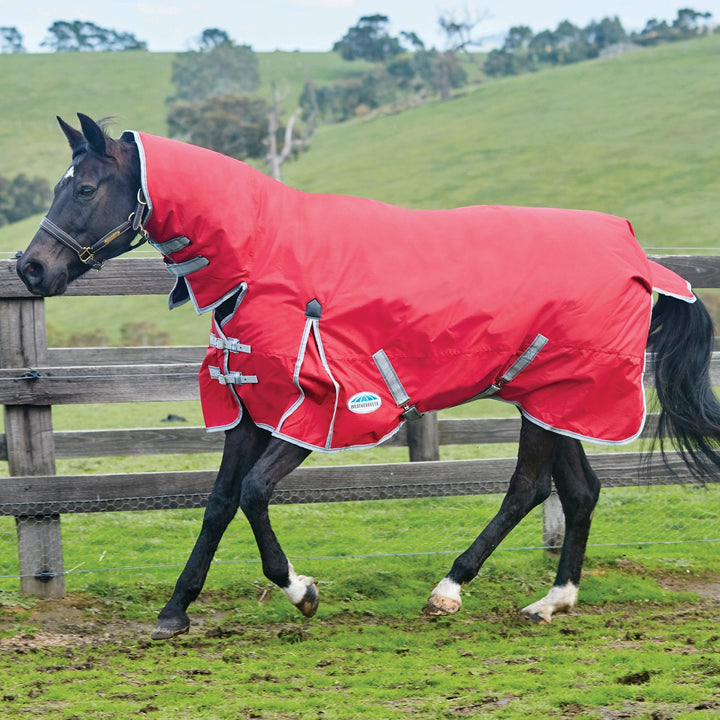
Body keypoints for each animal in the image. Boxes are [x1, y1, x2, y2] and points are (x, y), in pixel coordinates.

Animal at [15, 114, 720, 640]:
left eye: (84, 188)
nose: (31, 268)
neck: (263, 258)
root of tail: (639, 257)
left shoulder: (321, 412)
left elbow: (253, 493)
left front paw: (301, 590)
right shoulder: (249, 408)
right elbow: (218, 502)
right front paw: (174, 611)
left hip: (553, 398)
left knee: (526, 488)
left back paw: (448, 590)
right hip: (552, 400)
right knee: (578, 491)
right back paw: (553, 601)